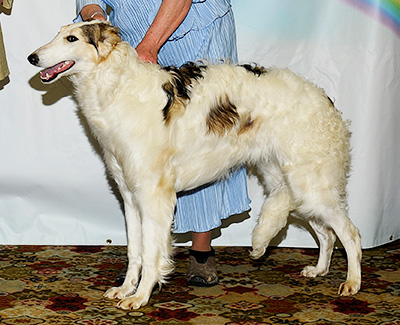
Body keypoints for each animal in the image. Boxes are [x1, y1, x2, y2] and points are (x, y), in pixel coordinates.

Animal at [28, 20, 362, 308]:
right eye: (59, 33)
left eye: (72, 39)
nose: (32, 57)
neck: (118, 88)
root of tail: (324, 98)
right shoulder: (130, 196)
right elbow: (135, 251)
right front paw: (125, 289)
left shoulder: (154, 196)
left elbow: (151, 252)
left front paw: (140, 296)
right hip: (295, 184)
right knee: (326, 233)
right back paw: (319, 270)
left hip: (310, 183)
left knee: (349, 233)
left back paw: (352, 283)